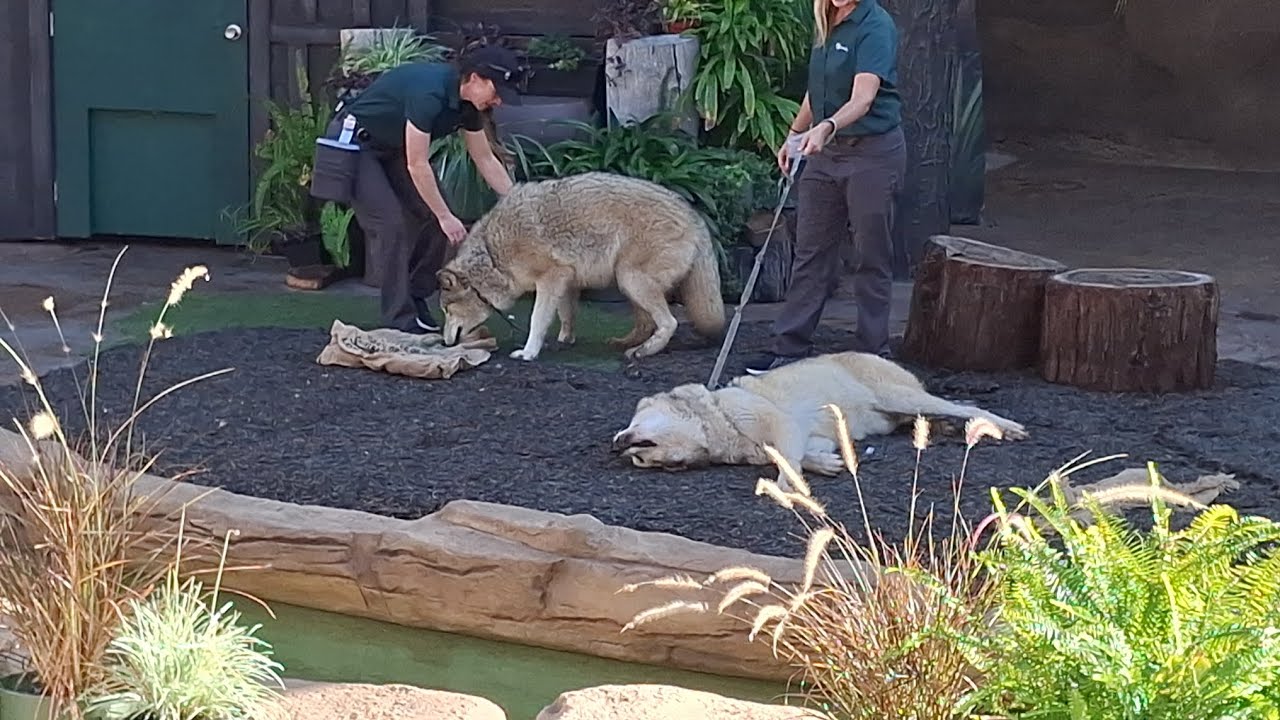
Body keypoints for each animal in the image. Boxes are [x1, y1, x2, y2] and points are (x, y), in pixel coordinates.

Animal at [436, 171, 726, 361]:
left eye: (447, 310)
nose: (444, 342)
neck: (492, 255)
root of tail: (695, 215)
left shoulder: (550, 278)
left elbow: (537, 319)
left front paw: (529, 352)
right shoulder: (567, 280)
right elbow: (565, 314)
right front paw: (565, 339)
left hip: (630, 278)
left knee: (669, 322)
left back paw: (643, 351)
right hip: (627, 282)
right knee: (646, 323)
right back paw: (626, 343)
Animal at [612, 351, 1029, 487]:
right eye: (644, 464)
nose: (619, 445)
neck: (719, 418)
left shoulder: (782, 425)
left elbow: (786, 462)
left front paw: (787, 488)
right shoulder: (807, 436)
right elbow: (804, 455)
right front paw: (827, 464)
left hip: (902, 396)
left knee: (969, 408)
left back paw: (1004, 428)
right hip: (903, 409)